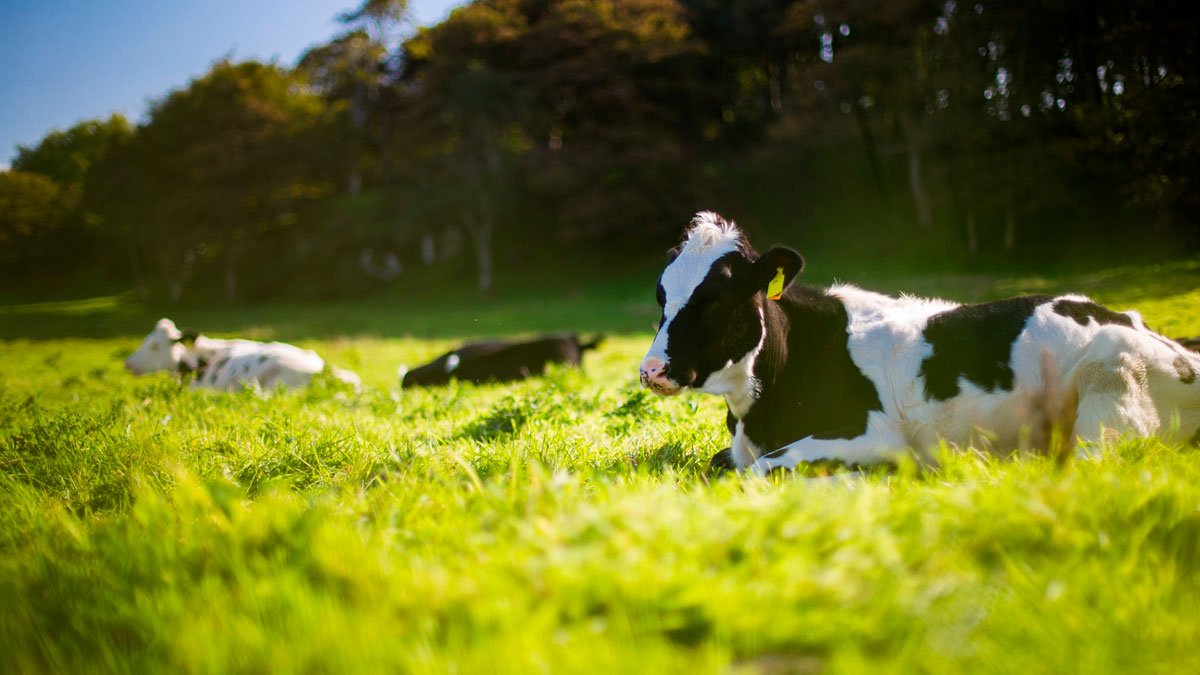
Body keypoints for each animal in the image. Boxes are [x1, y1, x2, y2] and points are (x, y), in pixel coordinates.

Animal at [639, 212, 1200, 475]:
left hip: (1111, 389)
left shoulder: (873, 434)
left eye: (716, 298)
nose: (651, 370)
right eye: (661, 294)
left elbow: (759, 470)